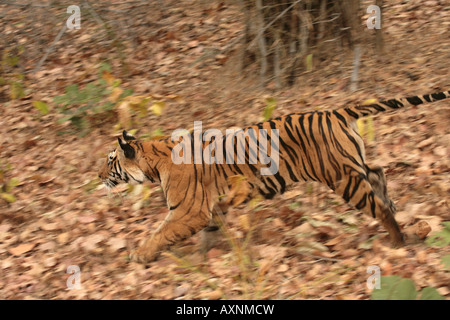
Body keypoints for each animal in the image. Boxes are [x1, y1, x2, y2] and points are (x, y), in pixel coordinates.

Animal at [99, 90, 450, 262]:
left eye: (110, 159)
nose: (98, 174)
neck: (153, 159)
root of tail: (335, 111)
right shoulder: (210, 209)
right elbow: (210, 232)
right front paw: (204, 256)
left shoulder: (189, 211)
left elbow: (160, 233)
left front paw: (140, 255)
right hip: (354, 166)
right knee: (378, 172)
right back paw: (392, 206)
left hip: (342, 178)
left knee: (377, 206)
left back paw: (398, 241)